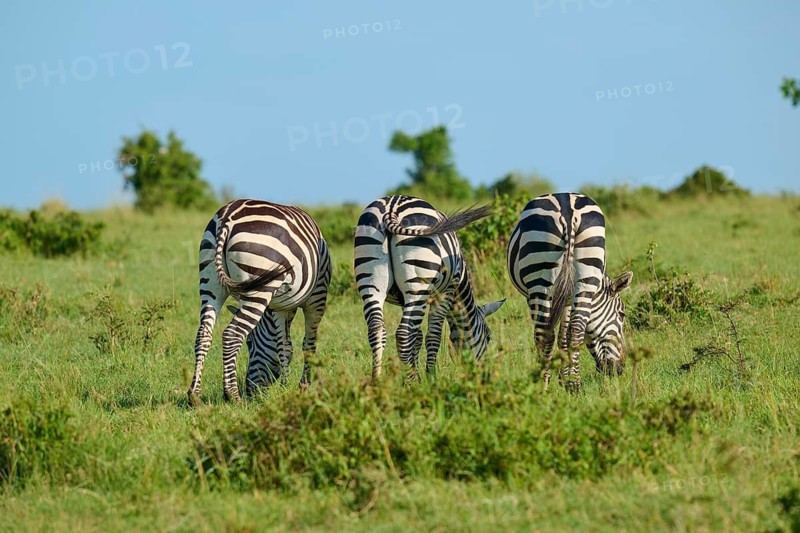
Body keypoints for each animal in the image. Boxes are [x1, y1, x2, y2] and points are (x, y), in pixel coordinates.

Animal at [189, 199, 331, 405]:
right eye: (249, 343)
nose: (250, 391)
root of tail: (227, 218)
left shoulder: (280, 308)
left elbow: (284, 347)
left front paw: (285, 388)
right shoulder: (317, 297)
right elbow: (308, 345)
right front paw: (303, 387)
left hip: (210, 283)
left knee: (203, 334)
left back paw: (194, 395)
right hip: (259, 286)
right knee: (231, 334)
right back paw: (232, 395)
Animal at [354, 195, 505, 380]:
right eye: (488, 336)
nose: (484, 375)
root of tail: (392, 208)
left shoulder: (405, 299)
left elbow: (417, 336)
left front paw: (417, 372)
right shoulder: (446, 292)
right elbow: (433, 335)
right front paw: (430, 378)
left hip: (371, 279)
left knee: (376, 329)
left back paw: (376, 380)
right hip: (418, 282)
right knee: (403, 333)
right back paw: (410, 382)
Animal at [506, 193, 632, 391]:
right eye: (622, 314)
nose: (620, 369)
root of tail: (568, 209)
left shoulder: (542, 297)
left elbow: (554, 336)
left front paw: (558, 377)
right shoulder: (567, 299)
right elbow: (565, 336)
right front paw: (565, 378)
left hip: (540, 281)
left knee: (545, 333)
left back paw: (543, 385)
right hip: (586, 274)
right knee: (576, 330)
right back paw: (573, 384)